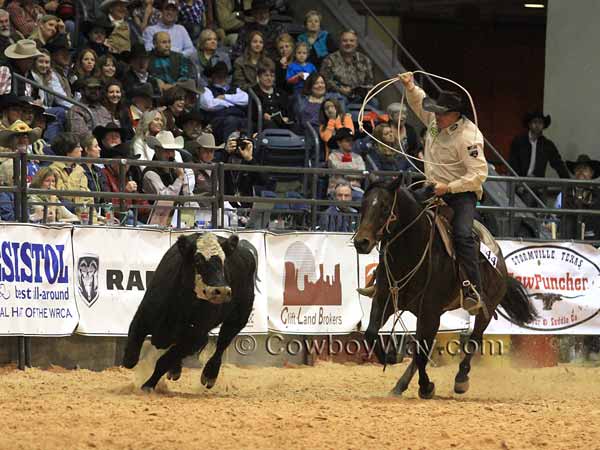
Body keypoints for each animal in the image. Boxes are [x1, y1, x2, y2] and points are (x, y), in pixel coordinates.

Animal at [354, 178, 536, 400]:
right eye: (363, 205)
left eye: (384, 207)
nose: (361, 242)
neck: (410, 251)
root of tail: (499, 256)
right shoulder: (384, 299)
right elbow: (371, 333)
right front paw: (390, 357)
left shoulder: (430, 311)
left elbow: (422, 353)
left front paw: (426, 387)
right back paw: (400, 385)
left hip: (486, 307)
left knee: (474, 340)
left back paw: (461, 379)